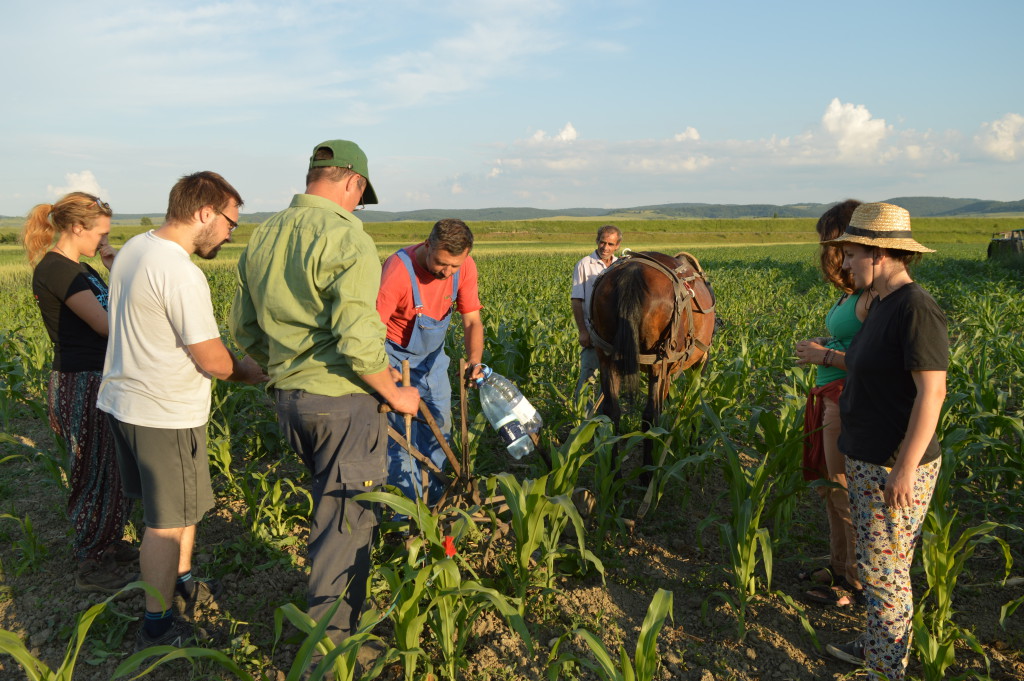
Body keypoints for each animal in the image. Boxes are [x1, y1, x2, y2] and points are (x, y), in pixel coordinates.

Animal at [589, 249, 716, 477]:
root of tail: (632, 272)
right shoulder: (699, 362)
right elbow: (694, 403)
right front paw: (694, 443)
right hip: (658, 362)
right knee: (650, 413)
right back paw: (649, 472)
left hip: (606, 356)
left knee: (612, 411)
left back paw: (613, 474)